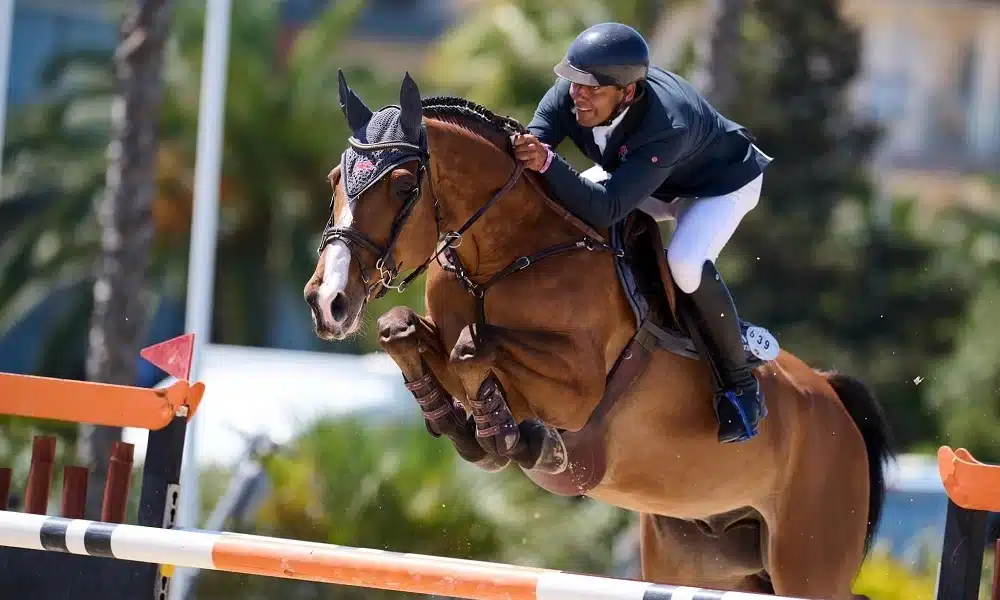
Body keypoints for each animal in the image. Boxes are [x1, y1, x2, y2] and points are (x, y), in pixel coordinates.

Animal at [302, 71, 892, 600]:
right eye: (334, 180)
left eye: (403, 186)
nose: (327, 302)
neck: (503, 258)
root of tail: (830, 395)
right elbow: (400, 331)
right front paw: (459, 422)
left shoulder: (576, 389)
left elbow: (475, 348)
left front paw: (507, 436)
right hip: (701, 558)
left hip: (807, 561)